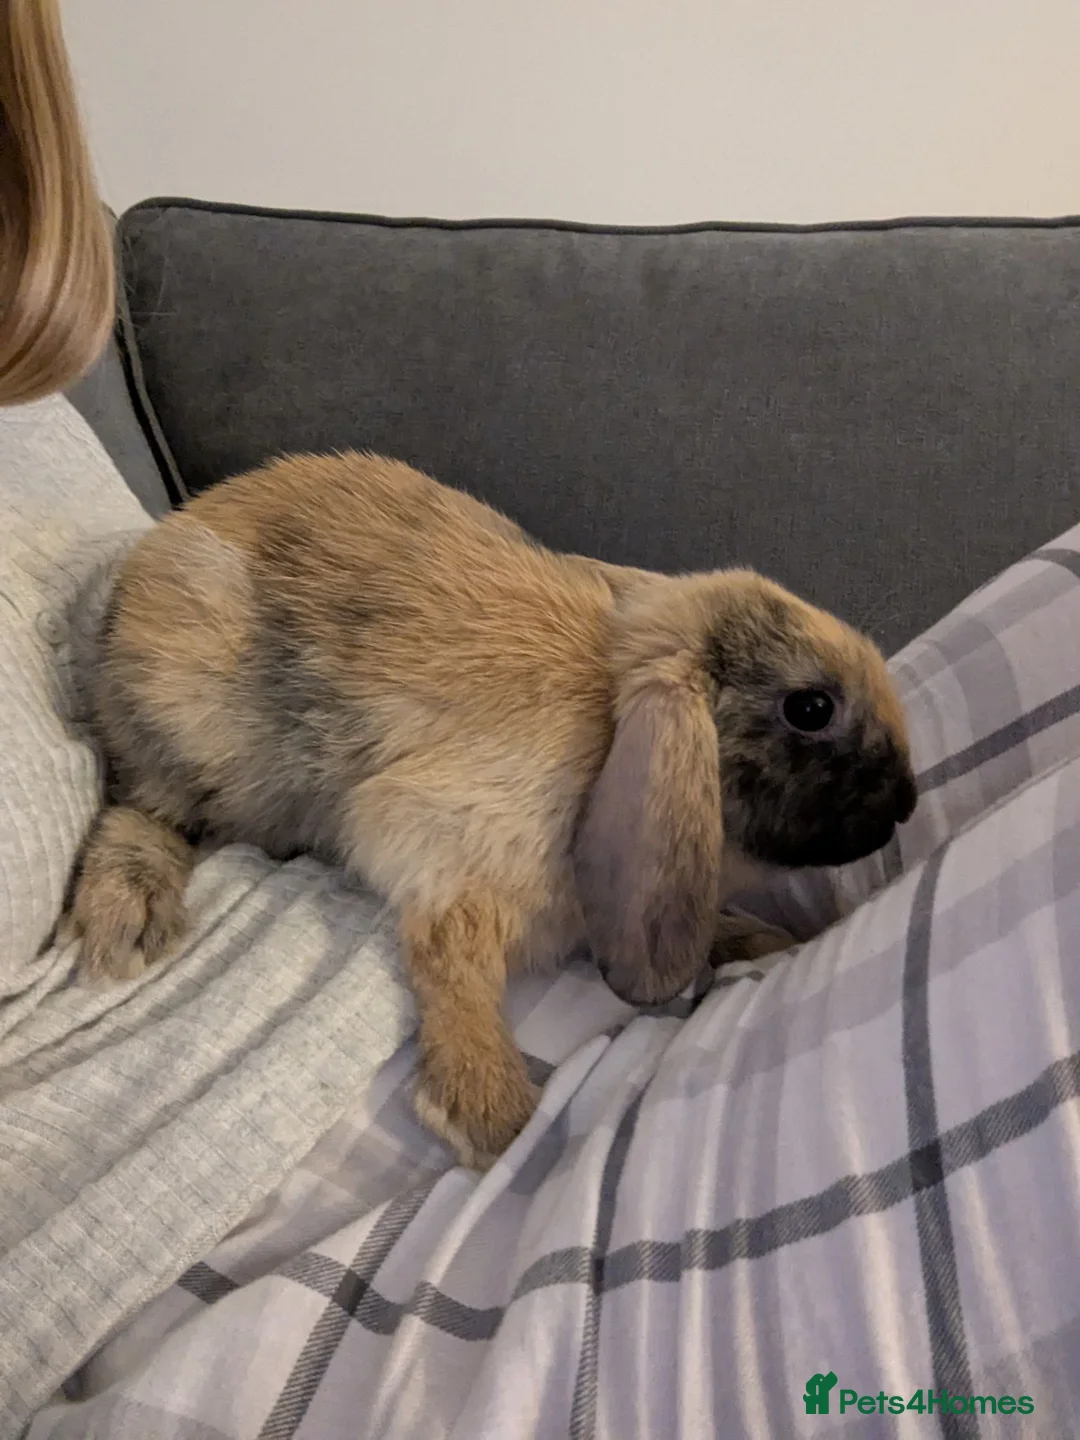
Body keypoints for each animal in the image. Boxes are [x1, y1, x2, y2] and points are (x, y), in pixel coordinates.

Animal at [60, 451, 917, 1168]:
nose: (907, 802)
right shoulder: (448, 844)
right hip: (192, 728)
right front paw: (489, 1113)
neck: (612, 722)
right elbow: (450, 956)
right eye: (810, 708)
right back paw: (130, 918)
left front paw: (753, 938)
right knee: (144, 808)